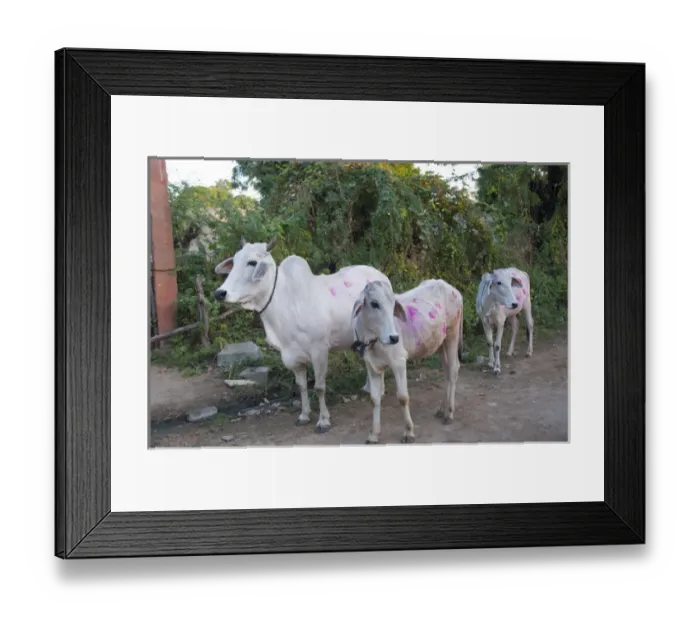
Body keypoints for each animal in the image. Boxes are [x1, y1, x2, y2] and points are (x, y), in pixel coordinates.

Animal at [213, 235, 391, 433]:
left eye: (252, 262)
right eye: (234, 261)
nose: (220, 293)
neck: (286, 304)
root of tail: (380, 275)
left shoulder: (320, 350)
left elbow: (319, 387)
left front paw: (323, 420)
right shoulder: (291, 356)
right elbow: (302, 386)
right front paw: (304, 415)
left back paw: (379, 390)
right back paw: (369, 387)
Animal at [350, 278, 464, 445]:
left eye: (393, 304)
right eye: (374, 303)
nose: (394, 338)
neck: (374, 340)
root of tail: (449, 287)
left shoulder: (399, 363)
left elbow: (403, 398)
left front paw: (409, 432)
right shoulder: (371, 366)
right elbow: (374, 399)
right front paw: (373, 434)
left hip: (452, 334)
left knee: (454, 369)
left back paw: (449, 412)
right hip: (440, 342)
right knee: (447, 371)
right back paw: (442, 409)